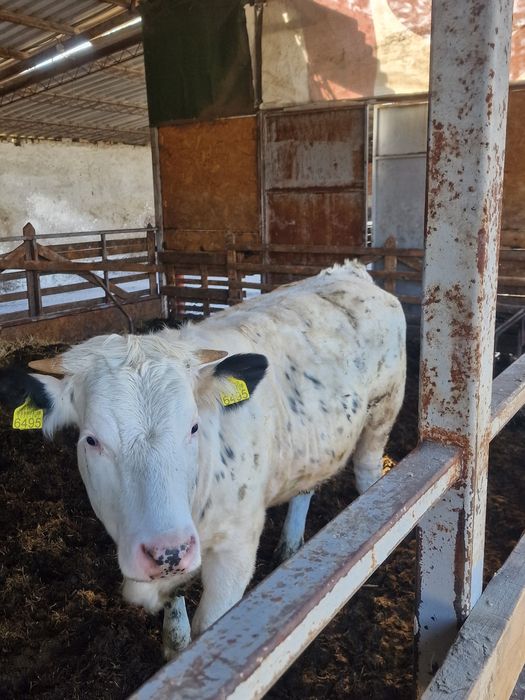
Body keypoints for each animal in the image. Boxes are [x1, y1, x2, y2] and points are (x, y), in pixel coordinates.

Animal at [0, 261, 406, 658]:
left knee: (369, 474)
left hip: (382, 415)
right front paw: (174, 643)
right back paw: (290, 547)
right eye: (91, 440)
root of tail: (348, 271)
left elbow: (209, 628)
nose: (167, 550)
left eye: (194, 426)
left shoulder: (236, 549)